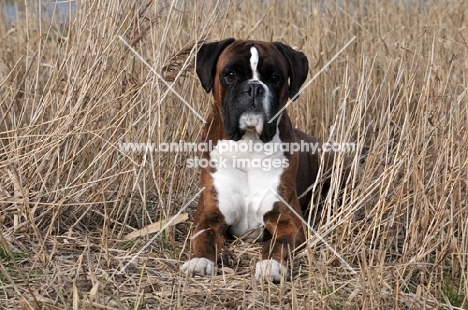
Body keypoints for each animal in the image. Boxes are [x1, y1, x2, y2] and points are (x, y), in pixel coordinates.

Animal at [181, 38, 350, 280]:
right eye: (230, 74)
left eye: (274, 78)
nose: (254, 87)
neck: (248, 146)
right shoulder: (208, 216)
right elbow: (204, 238)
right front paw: (199, 261)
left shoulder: (287, 221)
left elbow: (276, 244)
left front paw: (271, 264)